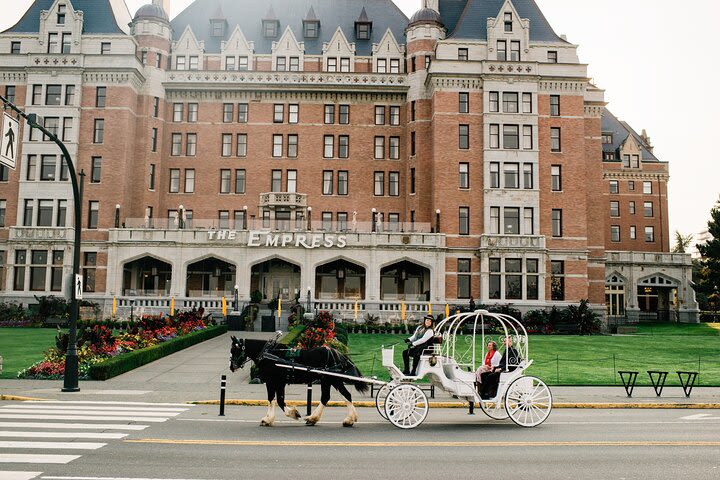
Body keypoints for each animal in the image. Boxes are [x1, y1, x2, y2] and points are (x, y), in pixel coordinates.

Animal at [229, 336, 366, 426]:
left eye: (234, 350)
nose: (231, 367)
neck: (268, 354)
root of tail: (338, 353)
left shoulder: (274, 381)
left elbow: (275, 399)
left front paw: (275, 418)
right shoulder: (278, 382)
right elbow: (277, 400)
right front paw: (272, 418)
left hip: (331, 379)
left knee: (336, 396)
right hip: (329, 379)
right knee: (338, 396)